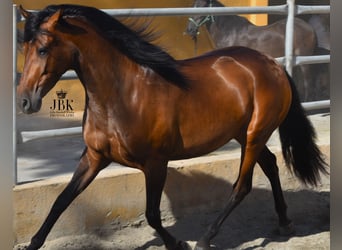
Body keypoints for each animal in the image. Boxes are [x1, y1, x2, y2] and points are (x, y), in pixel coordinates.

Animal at [187, 0, 318, 101]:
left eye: (202, 6)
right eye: (193, 5)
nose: (189, 30)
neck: (230, 32)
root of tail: (309, 27)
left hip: (304, 61)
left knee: (308, 82)